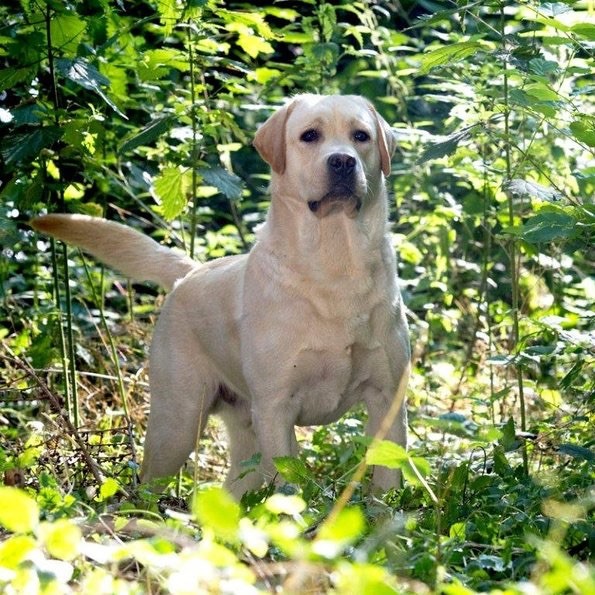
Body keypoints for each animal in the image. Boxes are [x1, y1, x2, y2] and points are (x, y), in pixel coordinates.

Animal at [31, 94, 410, 498]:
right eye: (310, 135)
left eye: (361, 136)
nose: (342, 161)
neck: (335, 266)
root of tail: (190, 272)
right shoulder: (275, 408)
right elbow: (289, 488)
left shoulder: (388, 398)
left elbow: (387, 476)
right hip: (178, 422)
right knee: (149, 483)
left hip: (241, 440)